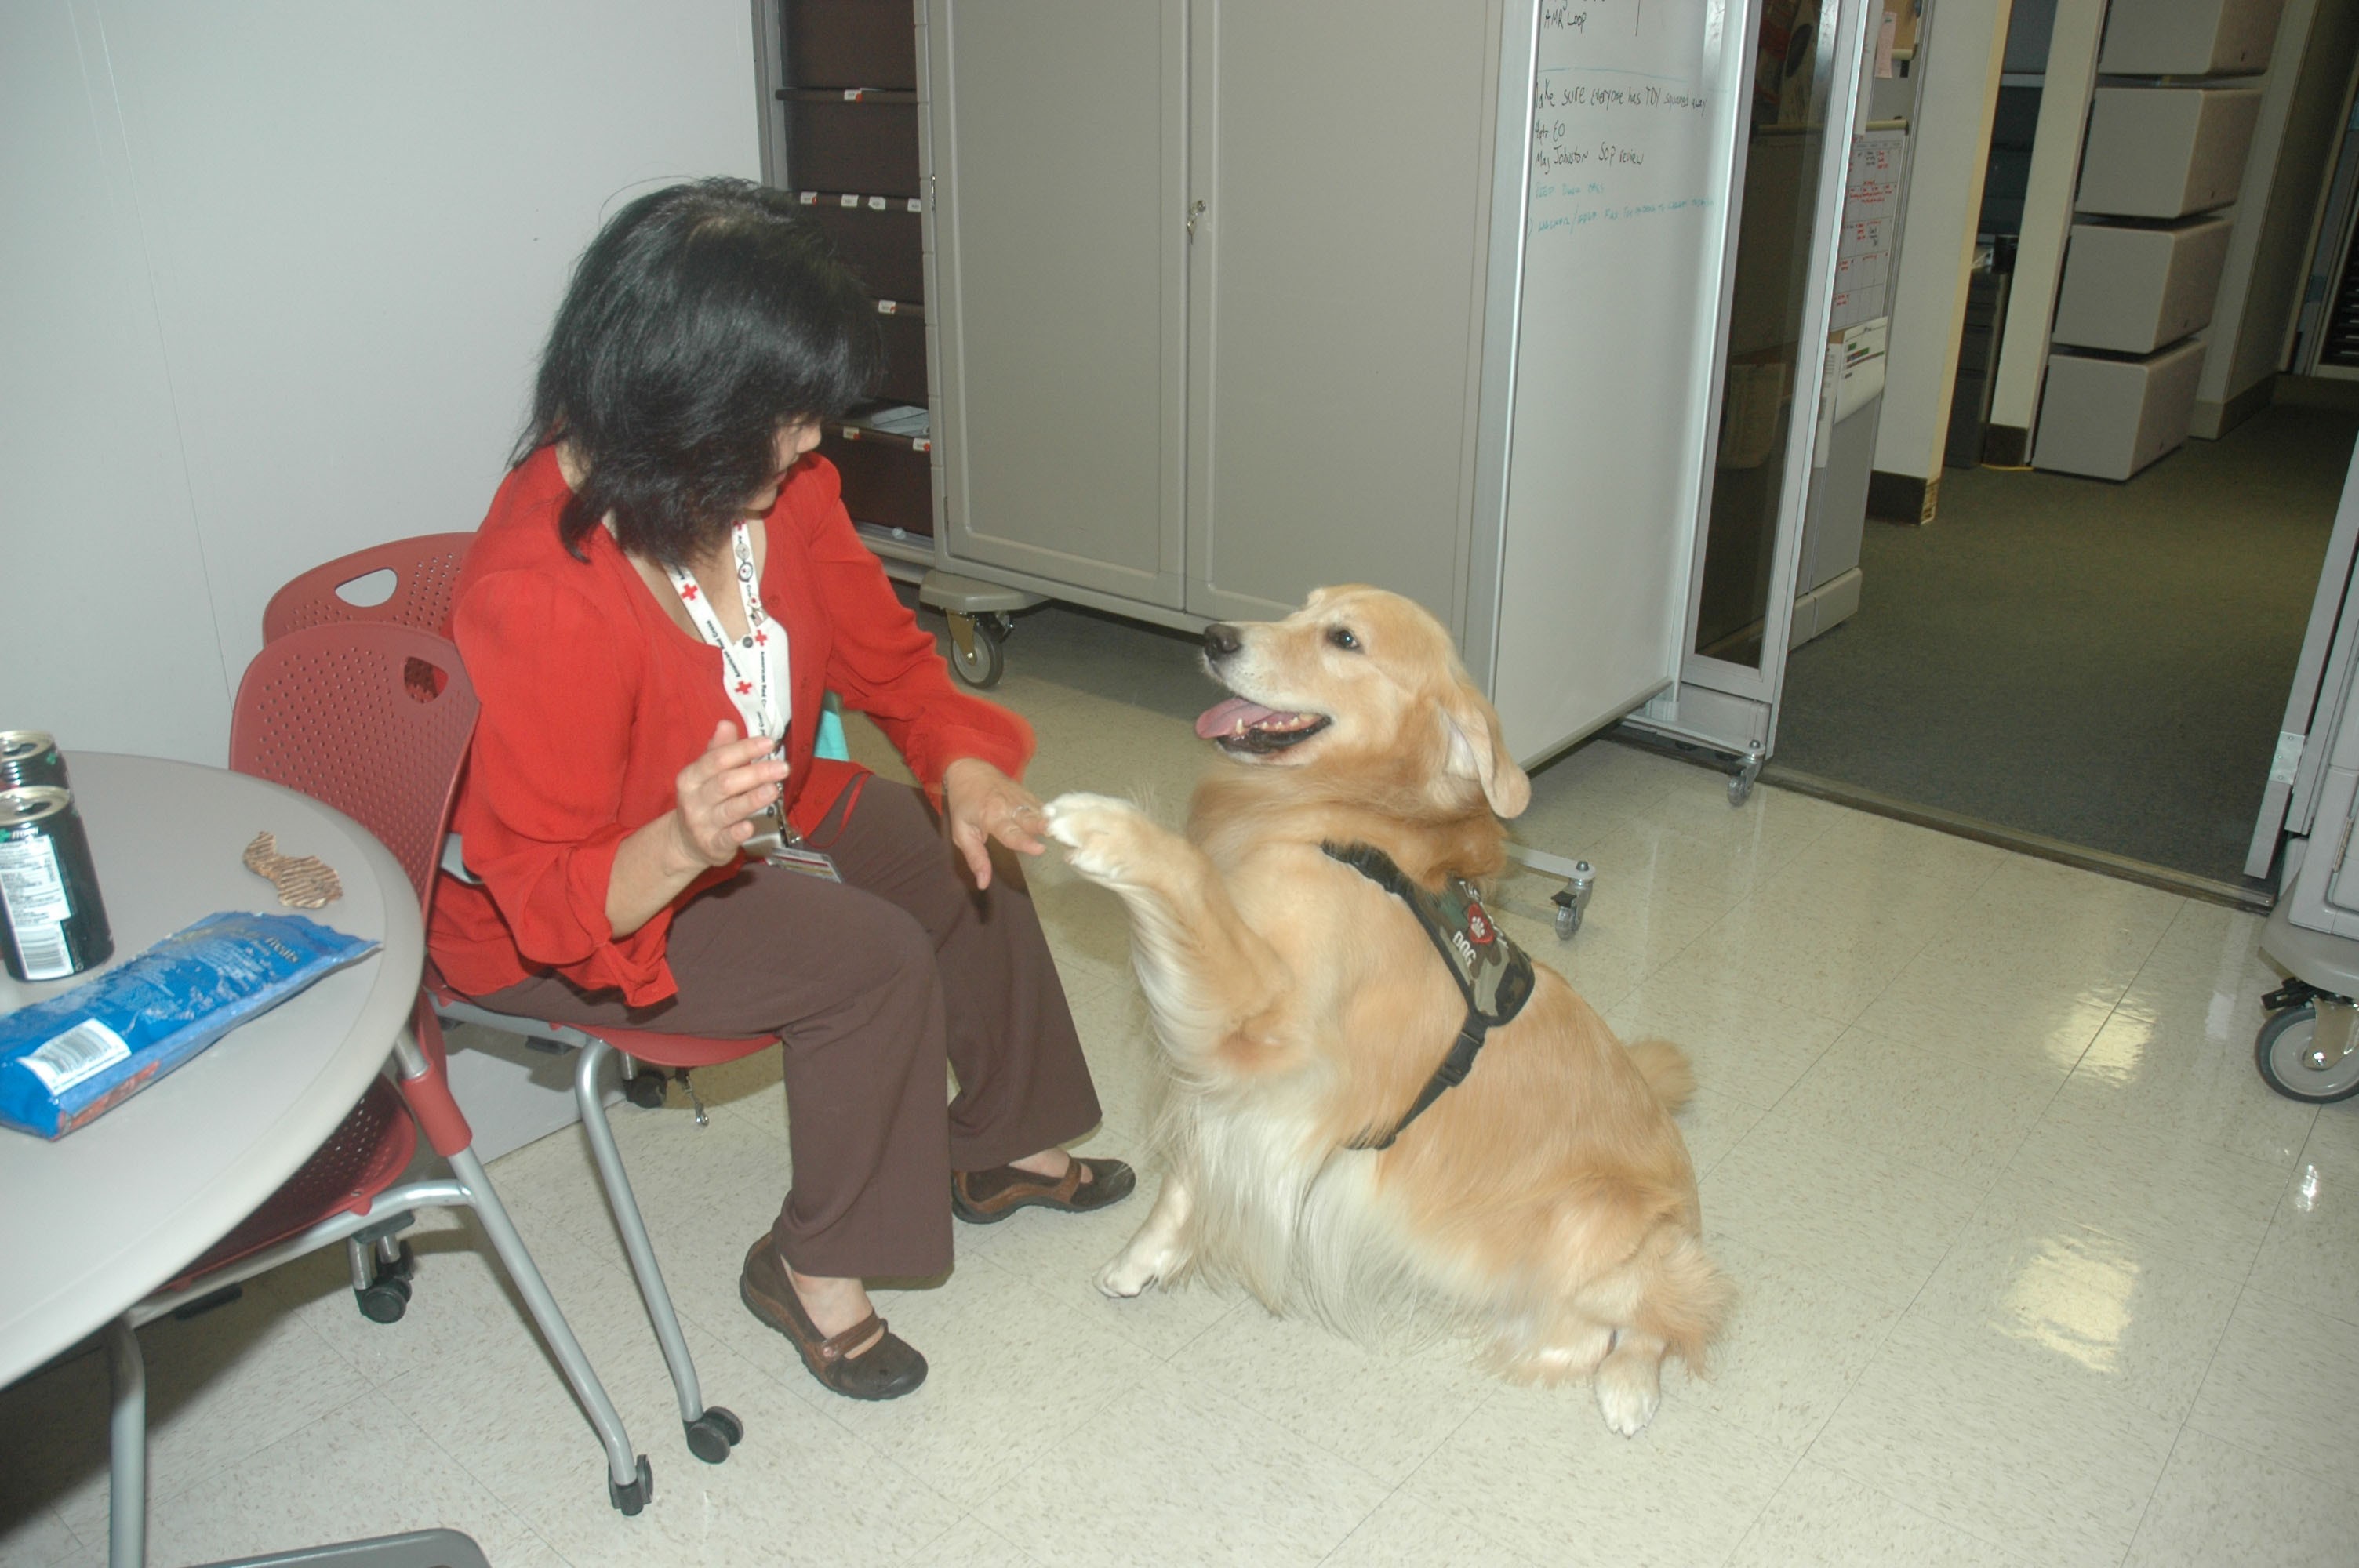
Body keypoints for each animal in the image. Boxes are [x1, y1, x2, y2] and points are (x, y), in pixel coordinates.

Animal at [1042, 579, 1726, 1424]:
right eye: (1301, 609)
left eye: (1343, 639)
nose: (1214, 635)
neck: (1354, 817)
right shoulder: (1246, 1087)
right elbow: (1188, 1171)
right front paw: (1144, 1256)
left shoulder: (1265, 1023)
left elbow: (1187, 877)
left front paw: (1107, 829)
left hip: (1595, 1215)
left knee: (1657, 1317)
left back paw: (1616, 1380)